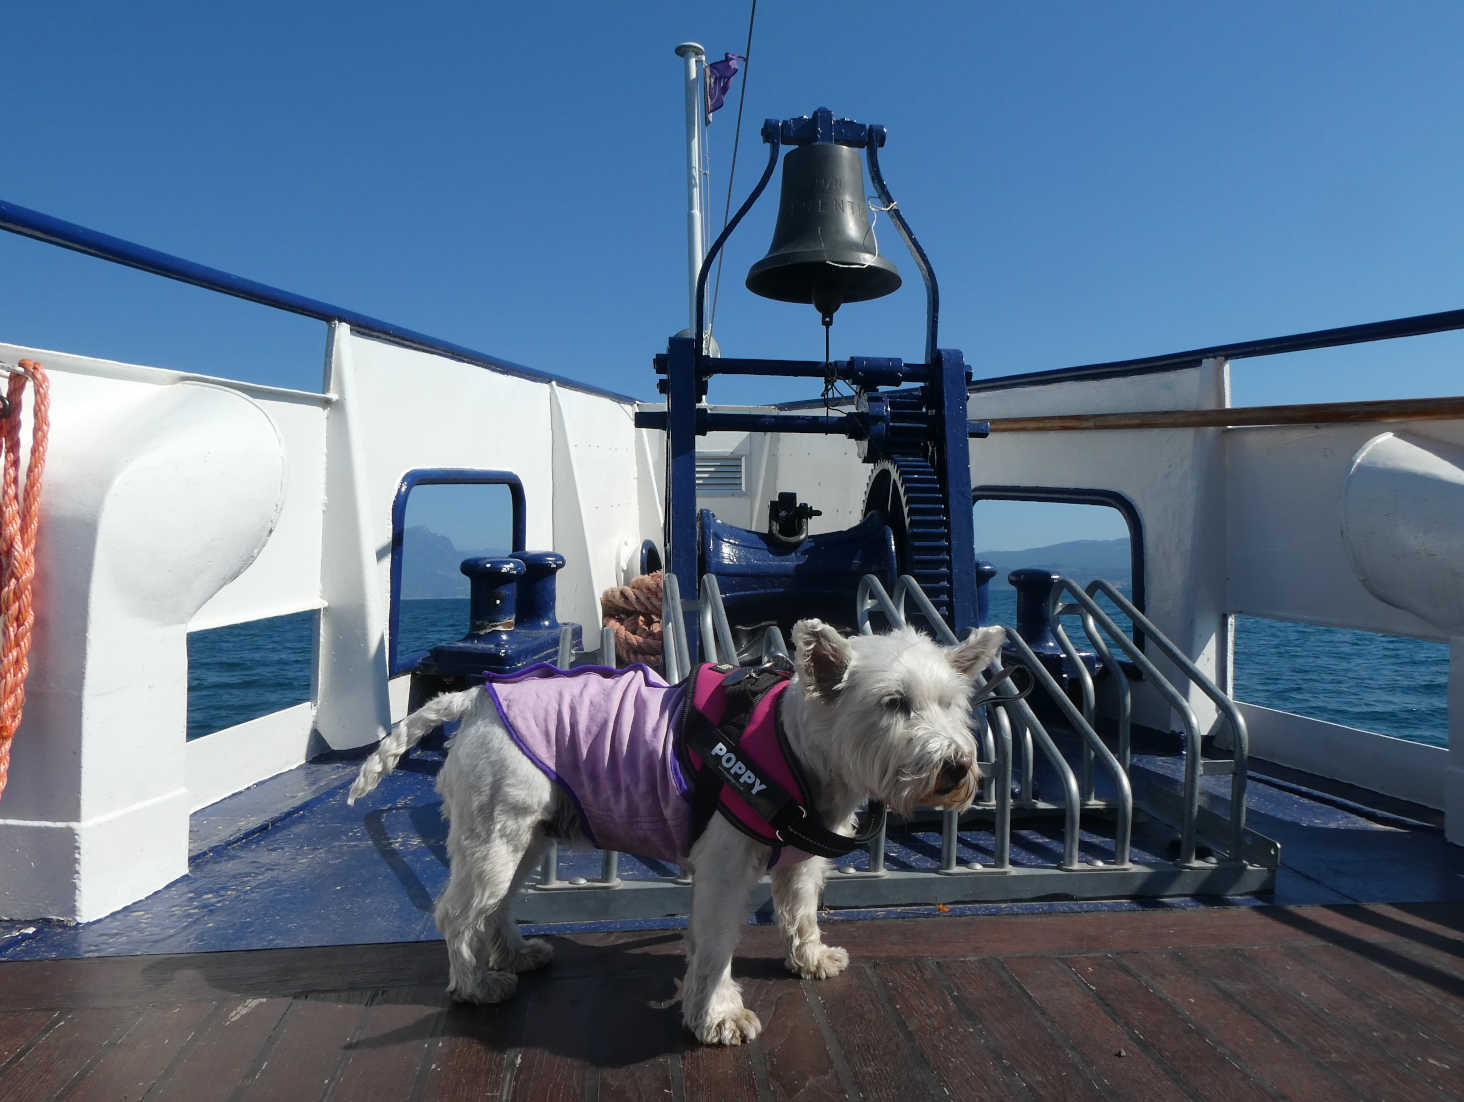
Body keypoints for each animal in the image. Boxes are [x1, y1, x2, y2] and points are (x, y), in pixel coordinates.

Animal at [348, 614, 1007, 1041]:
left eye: (954, 703)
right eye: (894, 703)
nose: (956, 767)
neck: (795, 747)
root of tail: (474, 700)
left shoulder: (799, 861)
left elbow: (800, 913)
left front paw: (810, 957)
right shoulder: (723, 868)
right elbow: (714, 946)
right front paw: (718, 1016)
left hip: (528, 834)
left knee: (499, 903)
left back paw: (513, 954)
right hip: (496, 834)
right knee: (459, 912)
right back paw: (475, 984)